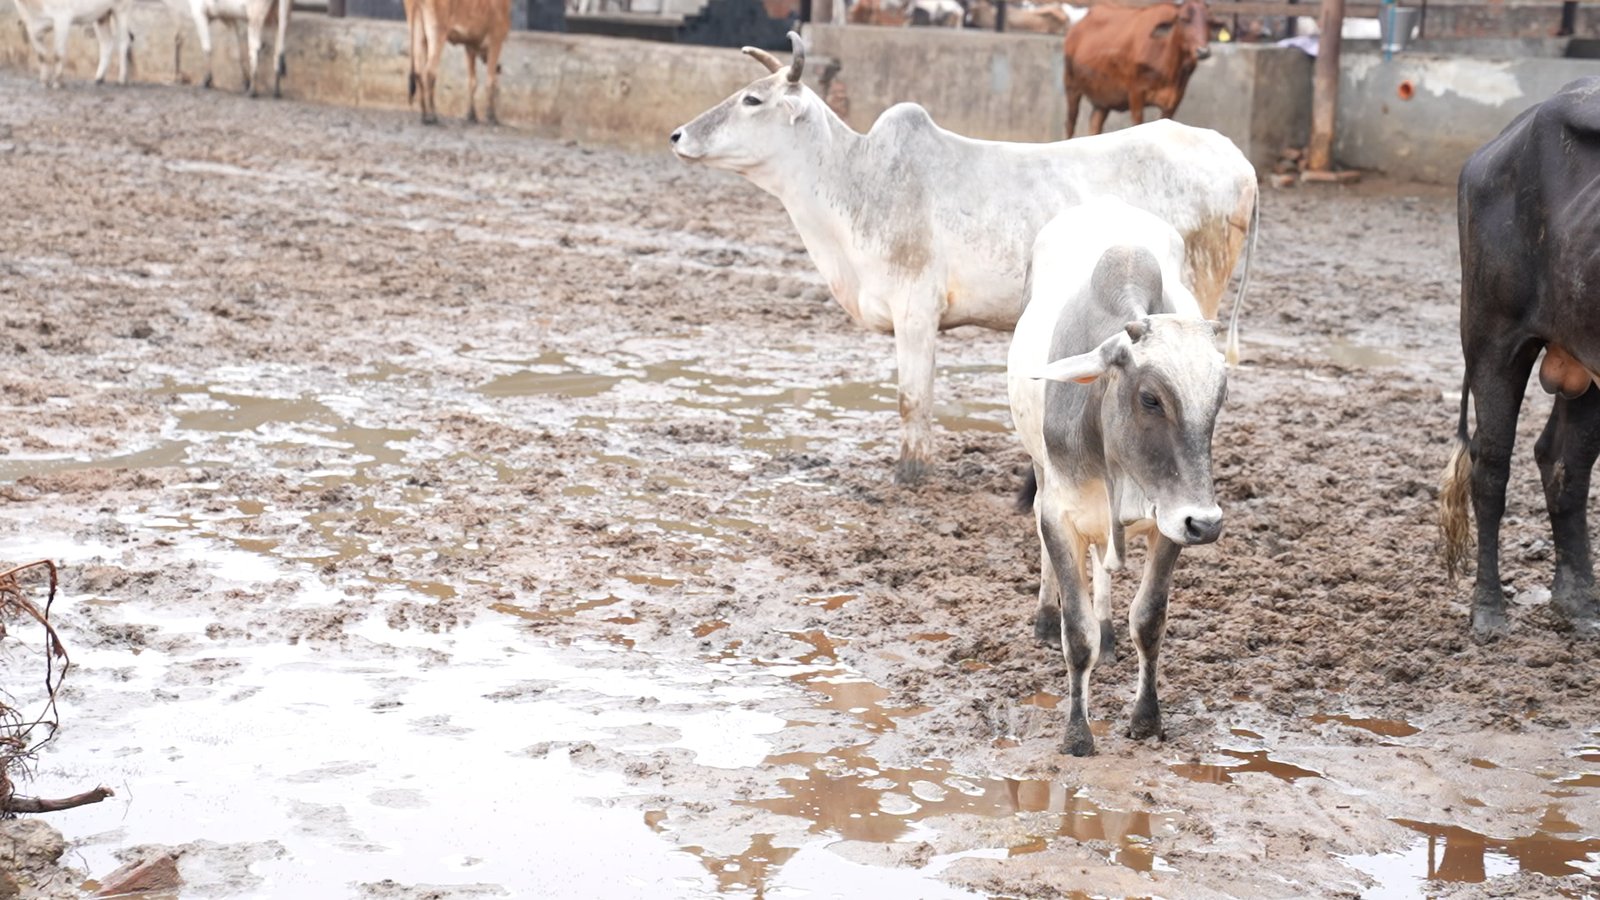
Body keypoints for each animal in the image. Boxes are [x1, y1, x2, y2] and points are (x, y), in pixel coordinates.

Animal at [158, 0, 290, 96]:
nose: (177, 37)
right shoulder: (227, 17)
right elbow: (237, 53)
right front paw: (245, 82)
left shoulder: (199, 12)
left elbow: (207, 47)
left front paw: (207, 80)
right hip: (280, 16)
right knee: (279, 48)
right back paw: (276, 91)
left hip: (255, 15)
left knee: (256, 48)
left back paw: (253, 91)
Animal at [670, 32, 1257, 484]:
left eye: (752, 100)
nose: (677, 134)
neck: (858, 180)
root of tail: (1237, 158)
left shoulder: (915, 309)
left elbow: (912, 398)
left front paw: (911, 472)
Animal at [1008, 197, 1227, 756]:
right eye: (1150, 398)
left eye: (1220, 396)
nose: (1208, 524)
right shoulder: (1059, 516)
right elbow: (1077, 634)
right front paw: (1076, 732)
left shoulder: (1169, 522)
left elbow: (1148, 621)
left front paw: (1147, 718)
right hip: (1040, 472)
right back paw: (1045, 618)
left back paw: (1109, 633)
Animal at [1062, 0, 1212, 139]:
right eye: (1183, 19)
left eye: (1209, 22)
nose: (1203, 51)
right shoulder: (1136, 92)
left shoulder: (1174, 100)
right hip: (1072, 86)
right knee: (1070, 123)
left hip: (1102, 100)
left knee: (1095, 126)